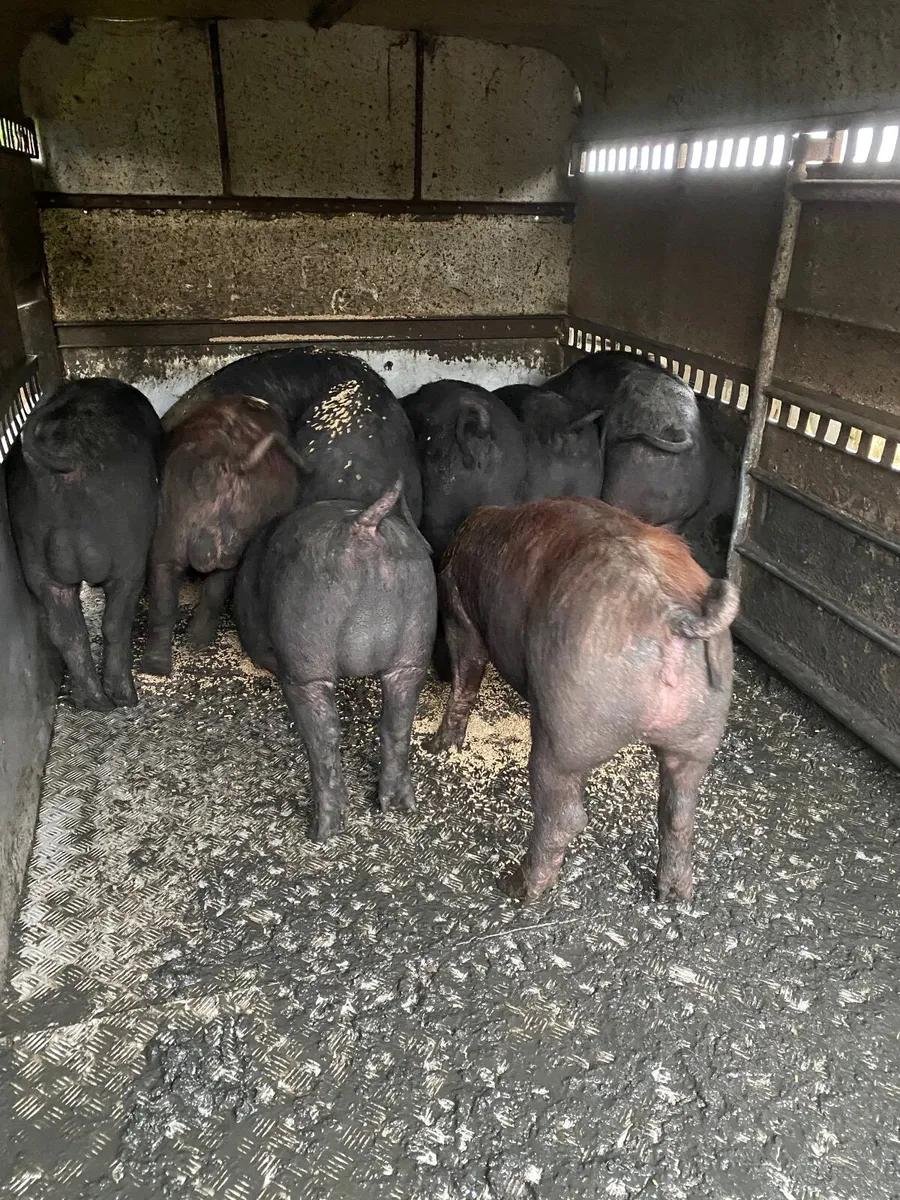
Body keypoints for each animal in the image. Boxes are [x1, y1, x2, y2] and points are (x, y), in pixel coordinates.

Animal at [7, 378, 163, 711]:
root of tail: (65, 459)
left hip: (33, 552)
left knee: (66, 630)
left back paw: (94, 702)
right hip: (128, 550)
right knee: (115, 623)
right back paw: (125, 698)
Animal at [141, 395, 299, 677]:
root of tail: (223, 463)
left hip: (174, 525)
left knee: (166, 592)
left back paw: (162, 663)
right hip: (229, 534)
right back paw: (193, 645)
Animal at [234, 479, 436, 841]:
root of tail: (364, 526)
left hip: (306, 659)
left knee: (323, 735)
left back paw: (323, 830)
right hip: (415, 646)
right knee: (397, 722)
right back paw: (399, 806)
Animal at [427, 496, 738, 903]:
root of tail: (674, 616)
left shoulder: (459, 613)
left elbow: (466, 674)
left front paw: (437, 747)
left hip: (565, 732)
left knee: (563, 814)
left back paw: (517, 887)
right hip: (698, 735)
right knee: (679, 812)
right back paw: (673, 894)